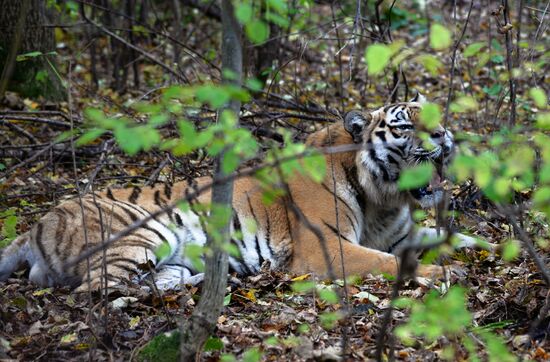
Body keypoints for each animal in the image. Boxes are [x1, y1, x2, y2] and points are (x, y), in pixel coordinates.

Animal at [0, 94, 484, 294]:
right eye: (404, 125)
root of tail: (36, 225)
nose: (445, 134)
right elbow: (388, 263)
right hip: (142, 234)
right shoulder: (328, 248)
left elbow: (463, 239)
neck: (382, 198)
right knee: (96, 290)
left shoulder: (401, 234)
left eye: (436, 116)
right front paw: (446, 274)